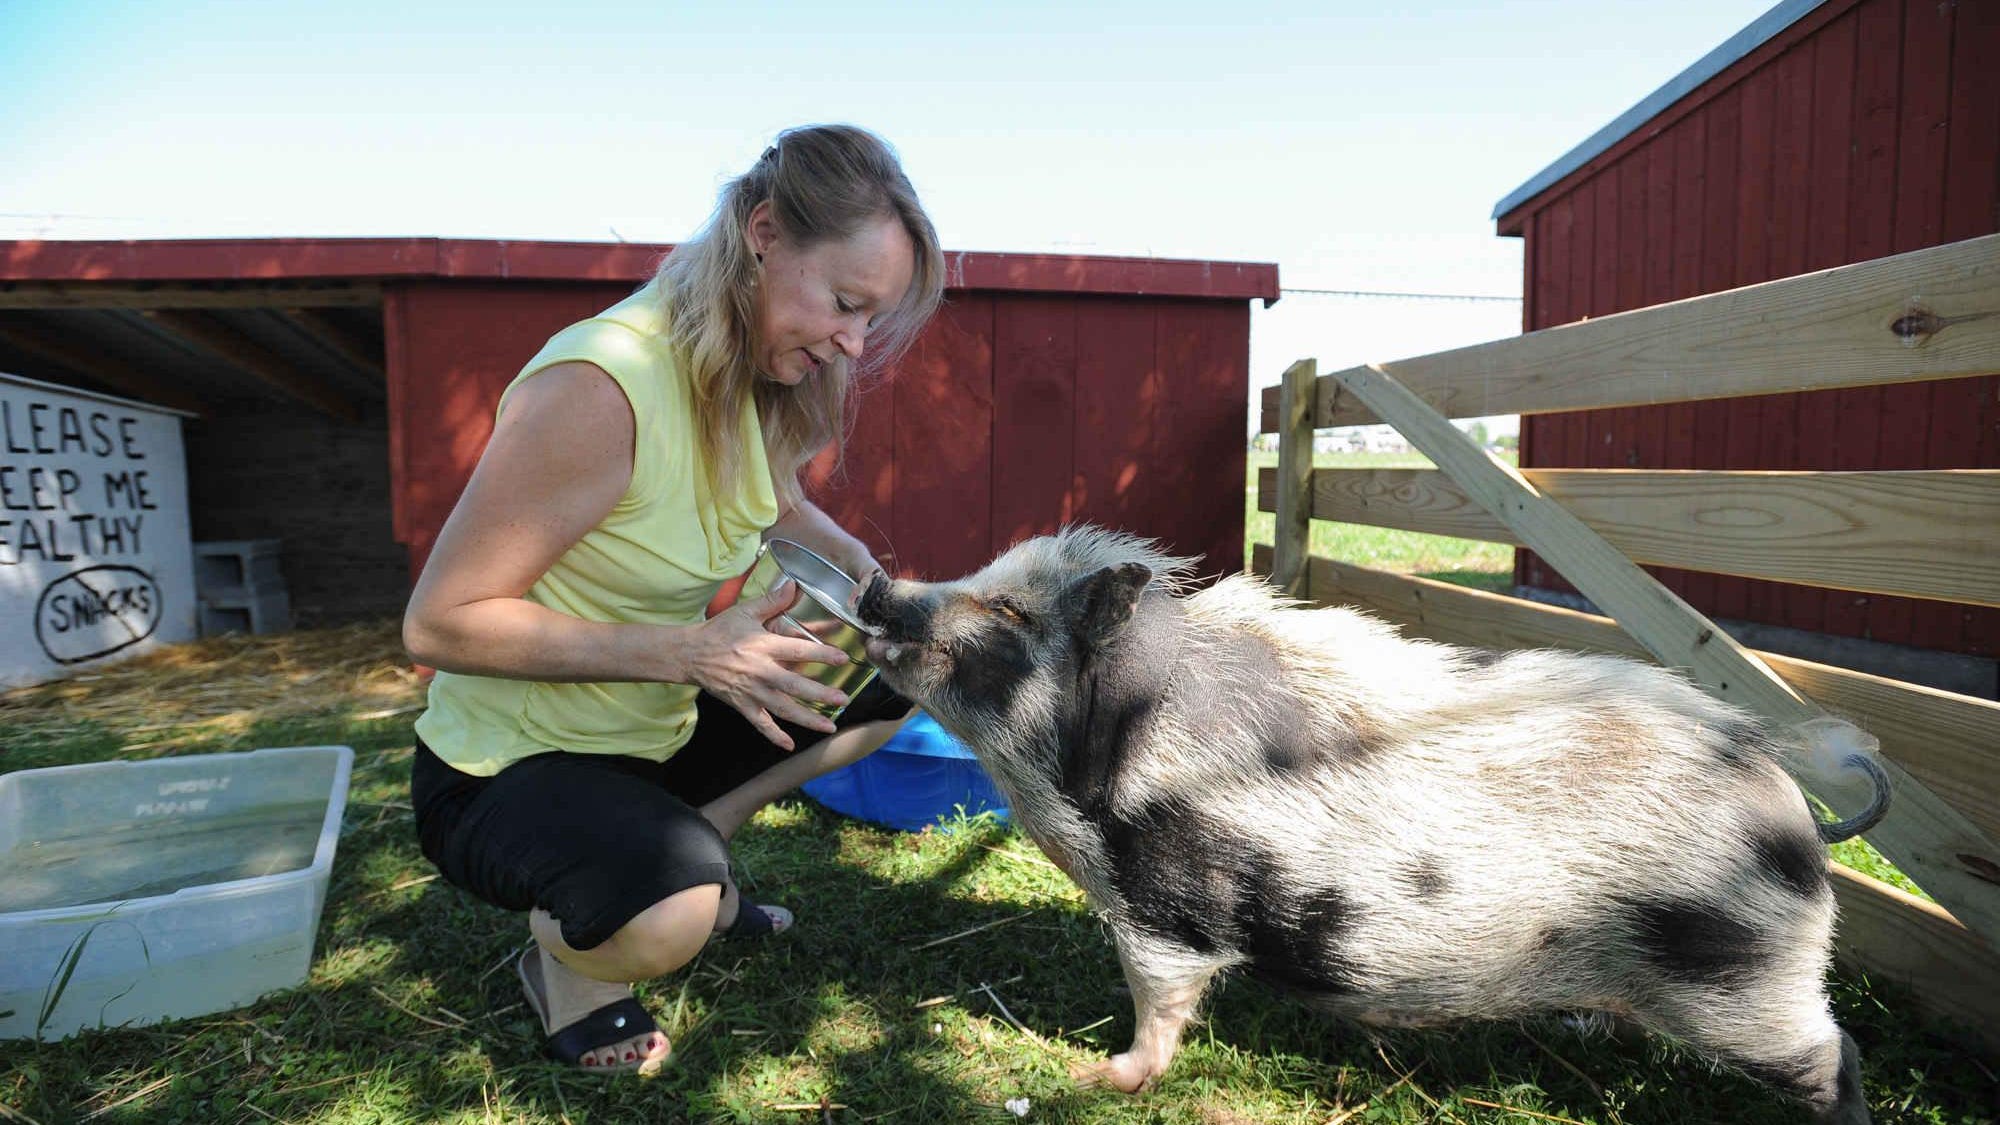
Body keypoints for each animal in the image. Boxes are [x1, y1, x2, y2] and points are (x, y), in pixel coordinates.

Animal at [854, 526, 1888, 1124]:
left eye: (1008, 609)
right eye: (983, 574)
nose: (876, 588)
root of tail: (1789, 798)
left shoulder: (1166, 902)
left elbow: (1160, 1002)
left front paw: (1100, 1077)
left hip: (1741, 969)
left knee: (1837, 1056)